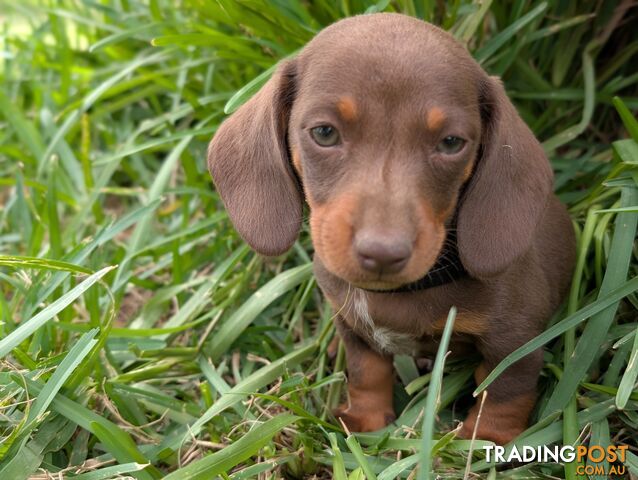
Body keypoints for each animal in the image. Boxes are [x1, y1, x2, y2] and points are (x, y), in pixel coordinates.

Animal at [208, 12, 576, 446]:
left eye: (451, 142)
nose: (382, 253)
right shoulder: (351, 325)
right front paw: (365, 420)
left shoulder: (515, 338)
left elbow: (503, 389)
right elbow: (366, 371)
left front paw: (484, 440)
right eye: (324, 132)